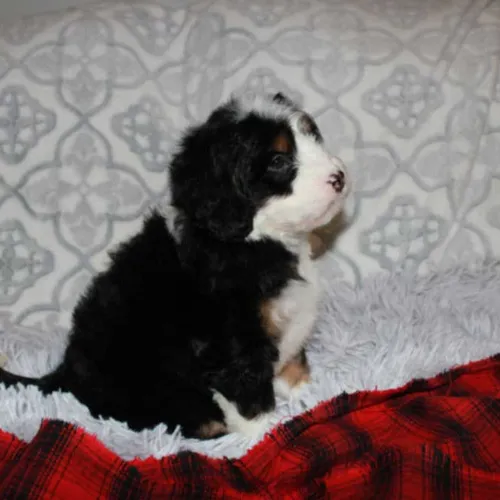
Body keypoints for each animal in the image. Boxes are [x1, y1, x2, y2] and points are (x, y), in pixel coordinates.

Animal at [0, 92, 350, 440]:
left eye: (312, 136)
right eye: (278, 161)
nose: (338, 177)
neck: (255, 239)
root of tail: (64, 376)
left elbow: (295, 363)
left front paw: (309, 396)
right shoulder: (234, 338)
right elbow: (249, 391)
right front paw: (269, 433)